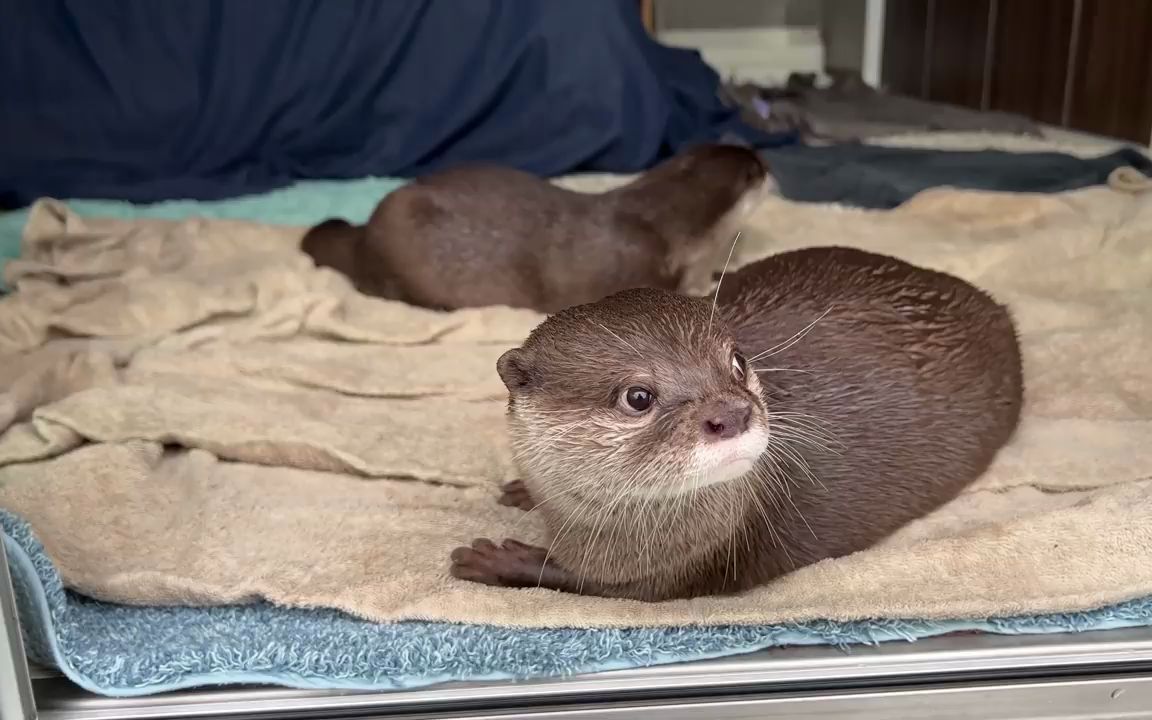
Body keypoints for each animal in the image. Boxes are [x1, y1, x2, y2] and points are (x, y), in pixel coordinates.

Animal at [449, 246, 1027, 599]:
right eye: (638, 396)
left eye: (736, 361)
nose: (731, 412)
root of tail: (994, 309)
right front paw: (521, 491)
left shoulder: (674, 568)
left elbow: (581, 582)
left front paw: (494, 559)